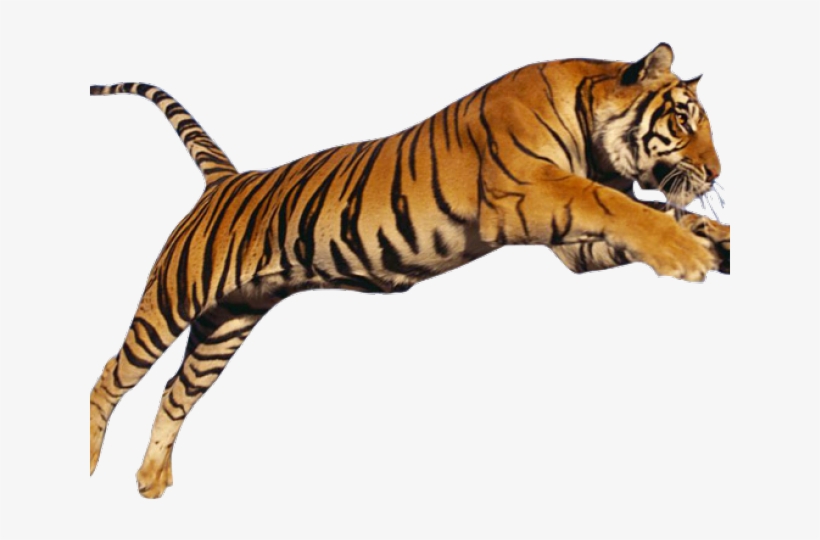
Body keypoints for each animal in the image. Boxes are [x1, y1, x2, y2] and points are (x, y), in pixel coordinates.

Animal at [89, 43, 730, 498]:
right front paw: (686, 254)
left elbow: (662, 215)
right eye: (684, 121)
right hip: (170, 301)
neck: (593, 136)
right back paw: (90, 472)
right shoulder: (534, 193)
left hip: (227, 322)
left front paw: (717, 242)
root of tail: (226, 178)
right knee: (109, 380)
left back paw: (150, 481)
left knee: (176, 390)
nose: (717, 173)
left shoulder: (574, 246)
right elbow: (624, 208)